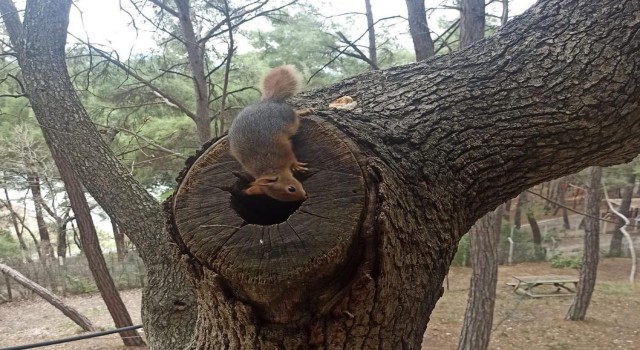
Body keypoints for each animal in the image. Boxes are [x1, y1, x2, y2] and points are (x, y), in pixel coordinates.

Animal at [229, 65, 314, 202]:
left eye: (291, 189)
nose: (304, 196)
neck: (272, 167)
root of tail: (268, 100)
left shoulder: (284, 151)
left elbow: (292, 157)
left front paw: (296, 166)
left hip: (289, 119)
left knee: (295, 113)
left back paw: (304, 111)